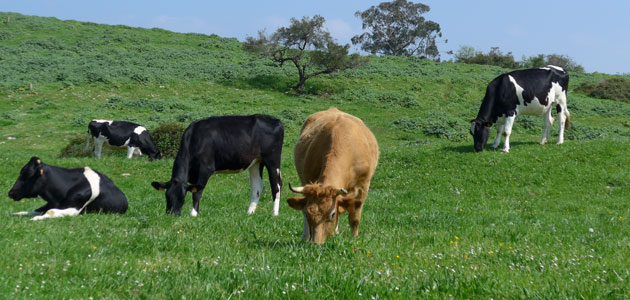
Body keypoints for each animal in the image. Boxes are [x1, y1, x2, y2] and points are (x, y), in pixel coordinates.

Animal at [151, 113, 284, 217]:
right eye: (167, 196)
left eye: (182, 198)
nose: (172, 215)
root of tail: (276, 120)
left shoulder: (205, 169)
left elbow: (197, 193)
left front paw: (193, 213)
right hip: (256, 162)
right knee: (257, 187)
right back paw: (249, 213)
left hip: (273, 160)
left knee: (276, 185)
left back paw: (274, 213)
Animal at [288, 108, 380, 244]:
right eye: (309, 213)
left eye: (332, 214)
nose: (316, 243)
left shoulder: (363, 186)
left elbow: (354, 218)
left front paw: (354, 240)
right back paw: (306, 237)